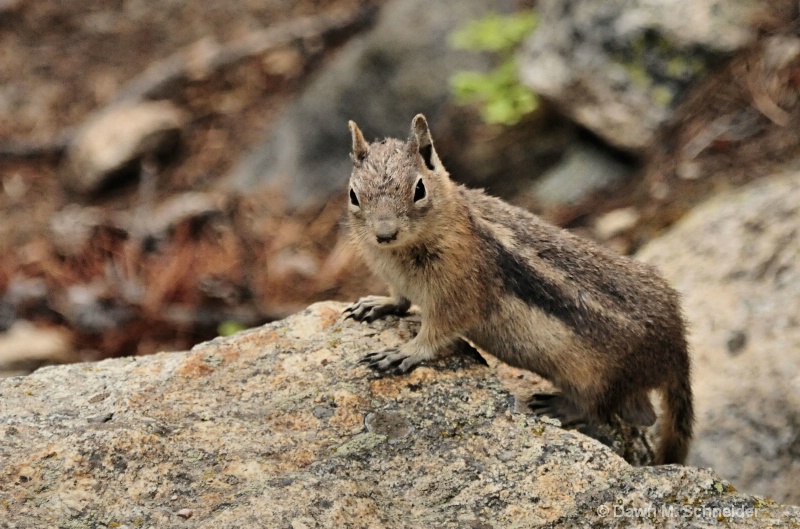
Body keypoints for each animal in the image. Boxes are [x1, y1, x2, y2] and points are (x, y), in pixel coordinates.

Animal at [344, 114, 692, 462]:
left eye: (419, 189)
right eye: (353, 195)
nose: (385, 233)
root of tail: (677, 347)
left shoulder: (459, 294)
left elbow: (436, 332)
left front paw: (404, 352)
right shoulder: (397, 280)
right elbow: (400, 300)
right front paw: (376, 304)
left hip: (601, 380)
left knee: (614, 411)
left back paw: (561, 406)